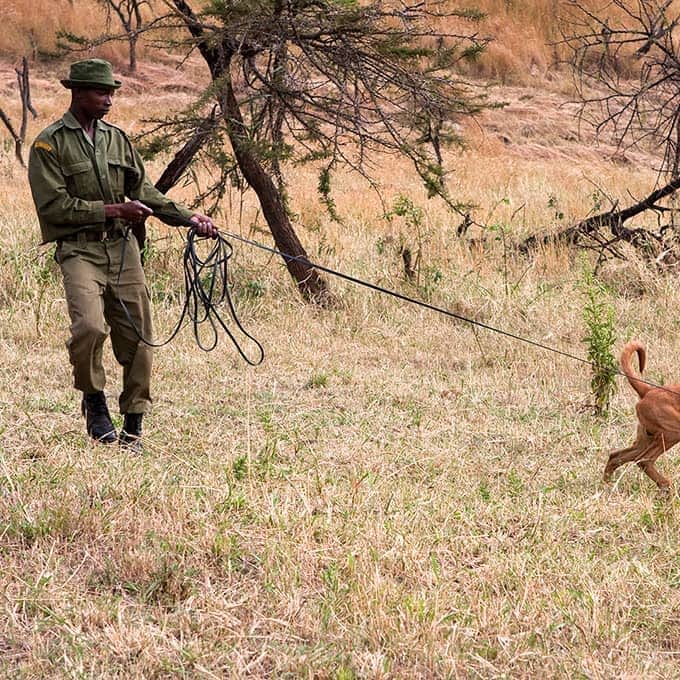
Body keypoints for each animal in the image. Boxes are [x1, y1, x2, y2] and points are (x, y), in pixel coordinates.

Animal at [604, 342, 680, 492]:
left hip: (646, 440)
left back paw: (607, 487)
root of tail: (648, 390)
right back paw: (666, 486)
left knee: (616, 456)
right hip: (671, 434)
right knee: (645, 461)